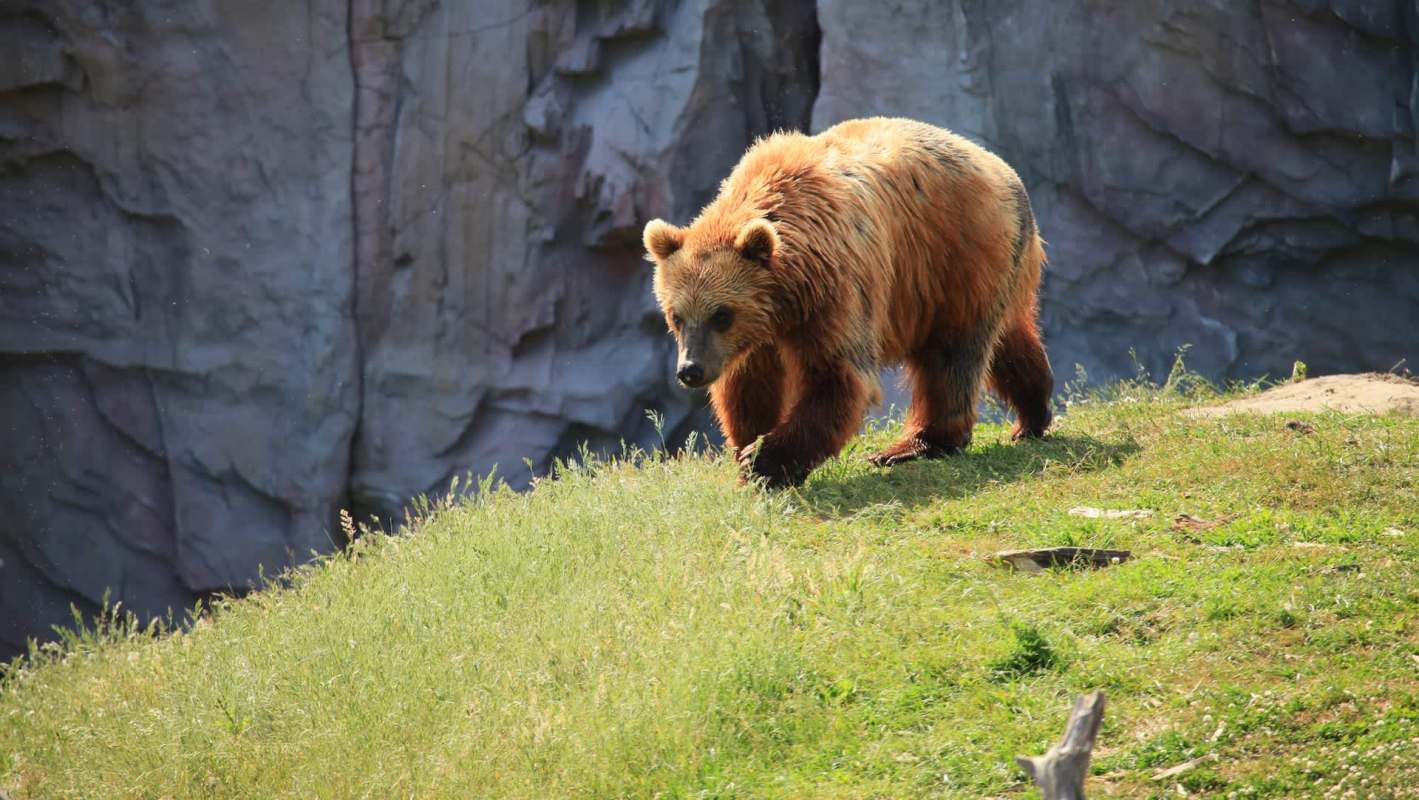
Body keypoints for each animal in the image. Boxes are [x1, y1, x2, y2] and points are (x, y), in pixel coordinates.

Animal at [643, 116, 1053, 489]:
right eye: (676, 316)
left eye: (721, 314)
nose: (690, 370)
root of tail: (1004, 170)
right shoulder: (758, 333)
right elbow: (749, 385)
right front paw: (750, 447)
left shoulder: (836, 290)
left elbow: (838, 376)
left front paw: (764, 462)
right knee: (1008, 341)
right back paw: (1033, 414)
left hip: (955, 258)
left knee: (951, 357)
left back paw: (913, 446)